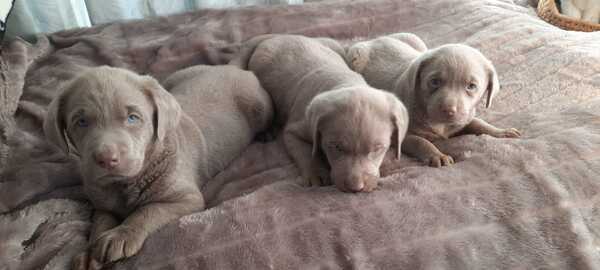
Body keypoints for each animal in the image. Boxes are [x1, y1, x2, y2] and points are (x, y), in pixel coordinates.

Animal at [43, 66, 274, 270]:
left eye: (133, 118)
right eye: (81, 122)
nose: (107, 159)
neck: (126, 183)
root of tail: (233, 67)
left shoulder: (186, 198)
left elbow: (149, 210)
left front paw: (121, 234)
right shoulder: (102, 203)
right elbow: (100, 221)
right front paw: (90, 253)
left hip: (259, 105)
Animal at [230, 34, 408, 193]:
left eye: (377, 149)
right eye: (336, 147)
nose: (356, 188)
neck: (344, 82)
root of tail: (277, 36)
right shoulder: (296, 129)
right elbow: (306, 151)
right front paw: (316, 174)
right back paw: (267, 132)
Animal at [346, 33, 520, 168]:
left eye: (471, 86)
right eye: (434, 82)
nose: (449, 111)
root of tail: (374, 40)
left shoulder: (463, 118)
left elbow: (478, 123)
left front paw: (501, 132)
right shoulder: (401, 134)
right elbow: (420, 141)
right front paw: (438, 155)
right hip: (355, 57)